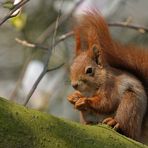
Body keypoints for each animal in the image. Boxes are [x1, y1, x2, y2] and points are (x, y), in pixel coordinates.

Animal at [67, 10, 148, 142]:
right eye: (71, 68)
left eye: (89, 70)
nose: (74, 85)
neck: (90, 89)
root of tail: (138, 134)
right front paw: (74, 97)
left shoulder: (111, 86)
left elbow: (106, 102)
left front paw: (85, 100)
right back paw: (89, 123)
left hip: (130, 104)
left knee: (126, 129)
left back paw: (114, 123)